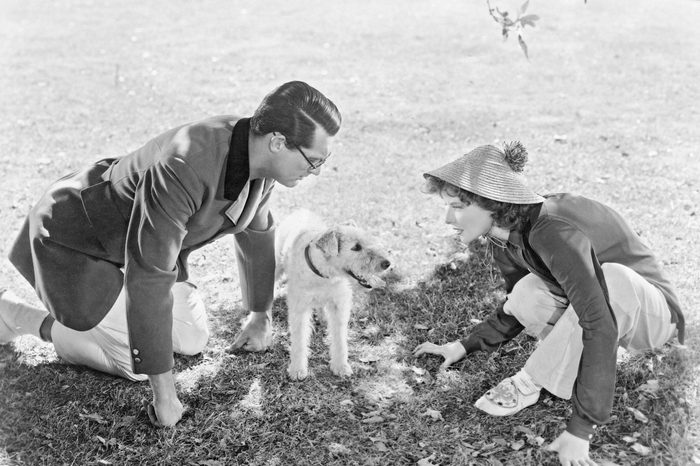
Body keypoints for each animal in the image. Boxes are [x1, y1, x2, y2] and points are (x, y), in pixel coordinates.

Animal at [274, 211, 394, 382]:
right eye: (356, 247)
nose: (387, 263)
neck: (324, 274)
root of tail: (302, 211)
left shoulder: (339, 305)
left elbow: (339, 340)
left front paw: (341, 367)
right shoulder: (299, 309)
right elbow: (299, 341)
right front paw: (297, 370)